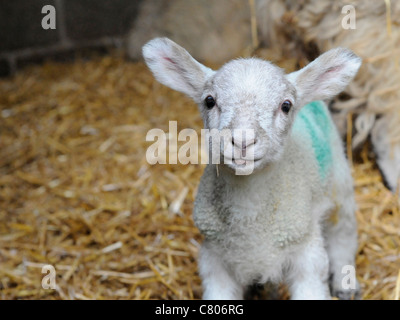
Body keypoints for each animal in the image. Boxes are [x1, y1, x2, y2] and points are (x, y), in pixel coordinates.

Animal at [143, 37, 362, 300]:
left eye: (286, 106)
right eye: (209, 101)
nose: (242, 141)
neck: (249, 217)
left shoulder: (307, 253)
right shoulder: (214, 259)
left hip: (340, 179)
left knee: (344, 234)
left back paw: (345, 284)